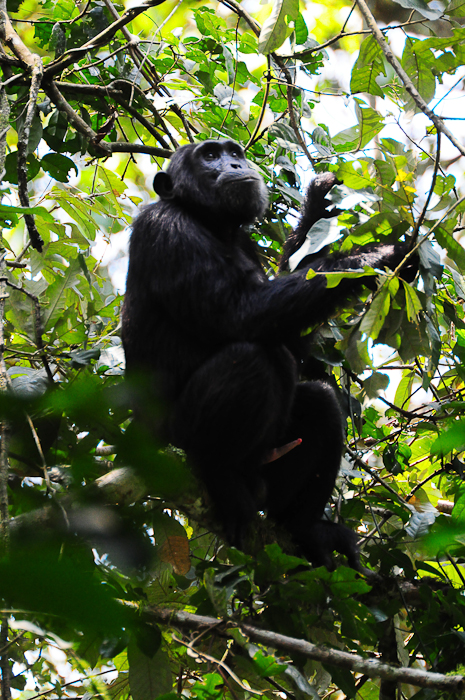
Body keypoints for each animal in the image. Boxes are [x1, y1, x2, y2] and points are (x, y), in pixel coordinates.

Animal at [120, 139, 414, 572]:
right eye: (210, 156)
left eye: (232, 151)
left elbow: (287, 332)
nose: (234, 163)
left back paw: (306, 530)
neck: (212, 223)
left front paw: (318, 206)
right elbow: (242, 314)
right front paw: (379, 255)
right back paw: (220, 475)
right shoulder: (167, 229)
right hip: (175, 439)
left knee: (320, 403)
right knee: (250, 359)